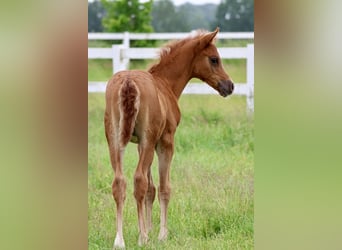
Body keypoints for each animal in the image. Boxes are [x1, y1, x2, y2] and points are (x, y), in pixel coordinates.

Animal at [103, 27, 232, 248]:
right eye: (214, 59)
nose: (230, 86)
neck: (165, 84)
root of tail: (128, 82)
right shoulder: (165, 141)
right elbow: (164, 188)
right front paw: (161, 234)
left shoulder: (141, 144)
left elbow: (151, 189)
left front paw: (150, 228)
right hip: (147, 142)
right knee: (138, 180)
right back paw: (142, 238)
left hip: (115, 140)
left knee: (120, 183)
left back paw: (120, 240)